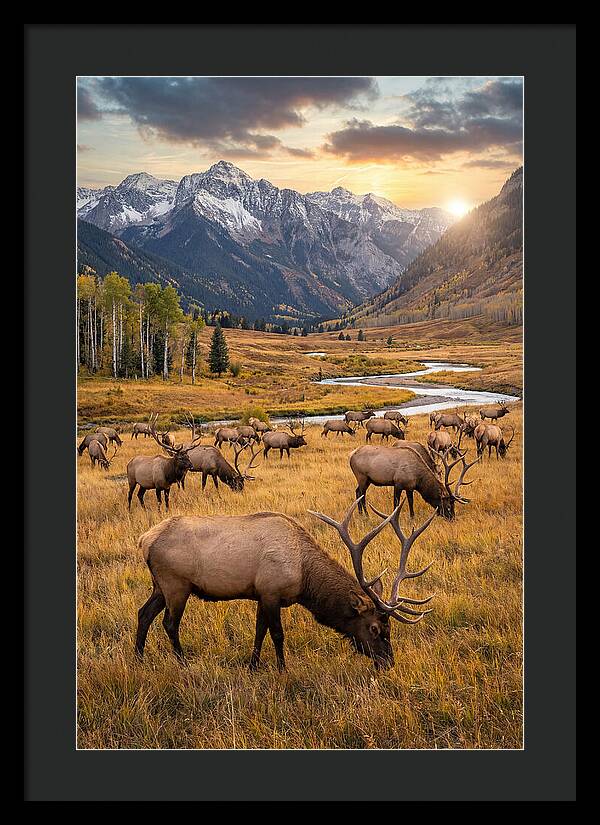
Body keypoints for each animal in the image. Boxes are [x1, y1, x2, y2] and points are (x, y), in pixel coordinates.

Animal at [135, 496, 437, 671]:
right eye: (374, 628)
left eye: (389, 629)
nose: (388, 662)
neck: (304, 578)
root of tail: (144, 540)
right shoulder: (271, 591)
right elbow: (277, 634)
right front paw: (282, 668)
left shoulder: (260, 594)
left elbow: (259, 631)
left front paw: (253, 666)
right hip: (176, 584)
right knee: (169, 623)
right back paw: (182, 661)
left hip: (159, 586)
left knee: (143, 613)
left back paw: (138, 658)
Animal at [349, 443, 478, 520]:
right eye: (449, 506)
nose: (452, 518)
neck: (419, 479)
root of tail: (351, 455)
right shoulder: (398, 483)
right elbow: (396, 503)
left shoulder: (409, 487)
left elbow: (411, 502)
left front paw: (412, 517)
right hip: (362, 477)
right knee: (361, 494)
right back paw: (365, 515)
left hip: (367, 480)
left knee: (357, 492)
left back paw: (361, 514)